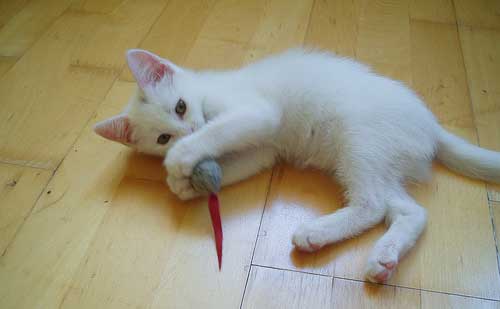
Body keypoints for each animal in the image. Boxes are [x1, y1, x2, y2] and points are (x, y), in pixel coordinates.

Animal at [94, 48, 500, 282]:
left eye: (180, 106)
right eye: (162, 137)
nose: (188, 130)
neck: (207, 93)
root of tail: (430, 123)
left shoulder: (257, 114)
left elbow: (219, 131)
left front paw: (181, 162)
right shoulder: (263, 150)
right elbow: (240, 160)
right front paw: (185, 182)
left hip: (359, 142)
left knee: (372, 204)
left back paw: (315, 233)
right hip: (381, 159)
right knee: (410, 211)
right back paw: (383, 260)